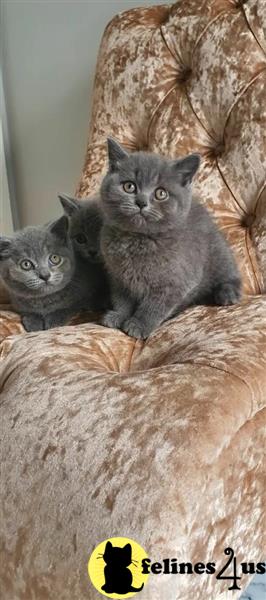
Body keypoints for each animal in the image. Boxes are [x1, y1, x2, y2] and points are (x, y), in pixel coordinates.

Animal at [99, 138, 241, 340]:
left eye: (161, 193)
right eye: (129, 186)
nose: (141, 202)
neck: (138, 239)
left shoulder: (177, 282)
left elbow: (155, 306)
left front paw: (139, 325)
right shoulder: (117, 276)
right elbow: (122, 299)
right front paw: (119, 316)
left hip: (220, 254)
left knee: (230, 275)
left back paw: (227, 294)